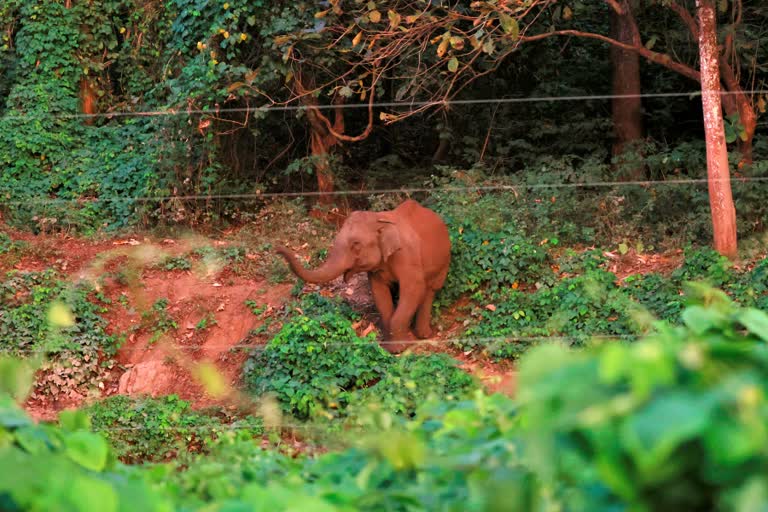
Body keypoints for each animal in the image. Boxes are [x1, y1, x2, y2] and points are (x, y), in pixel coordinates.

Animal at [278, 199, 450, 352]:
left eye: (356, 244)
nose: (278, 249)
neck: (380, 219)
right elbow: (380, 294)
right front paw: (390, 347)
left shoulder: (407, 255)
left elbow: (413, 288)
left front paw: (398, 350)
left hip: (444, 261)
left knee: (430, 290)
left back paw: (423, 335)